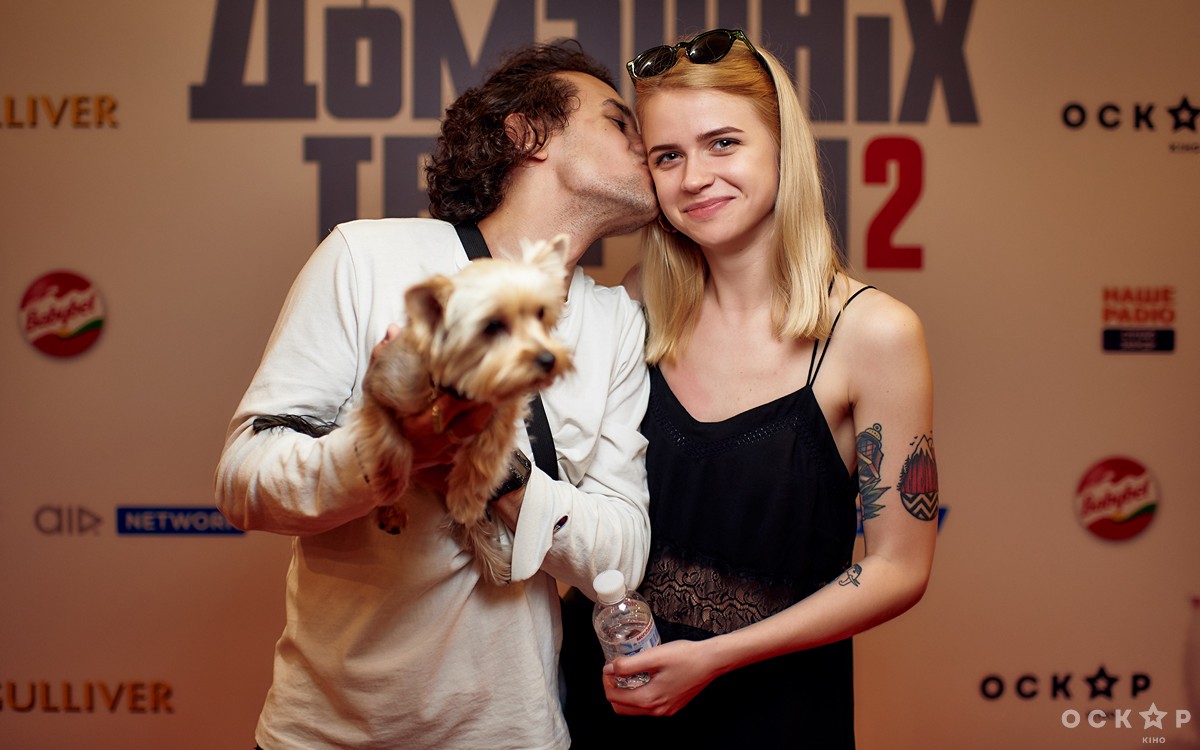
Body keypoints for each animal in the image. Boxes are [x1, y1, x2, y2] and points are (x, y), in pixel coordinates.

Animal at [351, 234, 573, 584]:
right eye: (492, 326)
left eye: (541, 314)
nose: (548, 359)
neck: (457, 391)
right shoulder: (379, 389)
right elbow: (390, 445)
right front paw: (390, 496)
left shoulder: (500, 412)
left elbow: (485, 452)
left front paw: (466, 499)